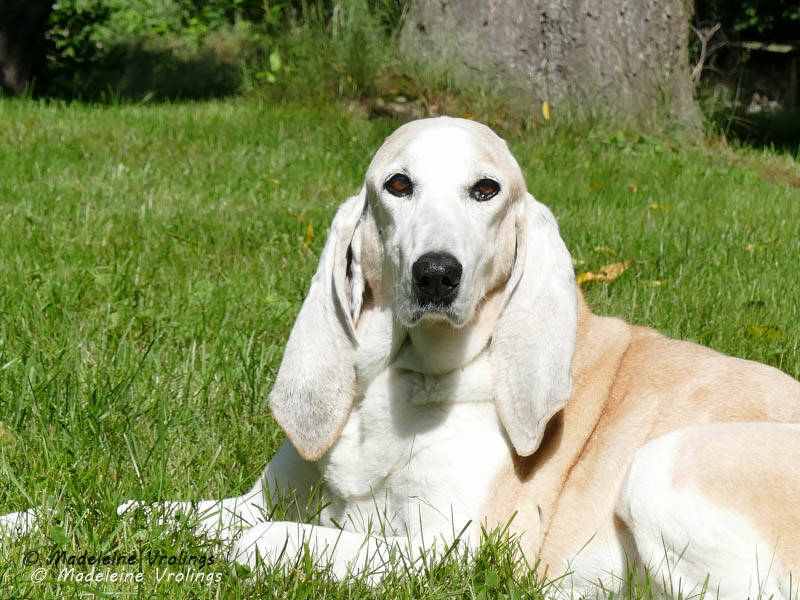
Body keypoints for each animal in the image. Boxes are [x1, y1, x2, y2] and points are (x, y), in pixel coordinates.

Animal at [4, 117, 800, 598]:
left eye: (486, 190)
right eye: (398, 185)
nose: (436, 274)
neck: (396, 380)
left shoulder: (442, 548)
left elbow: (253, 545)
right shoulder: (253, 500)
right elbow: (131, 511)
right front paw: (30, 526)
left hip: (658, 464)